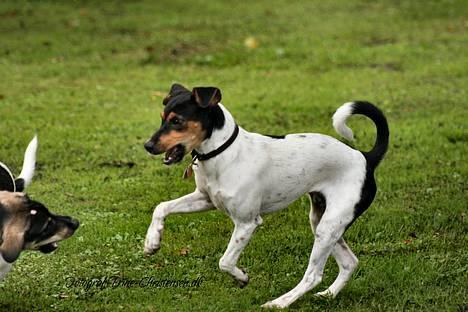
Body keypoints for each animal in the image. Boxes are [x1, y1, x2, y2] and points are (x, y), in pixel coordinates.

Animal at [143, 84, 388, 308]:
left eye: (177, 121)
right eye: (162, 119)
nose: (147, 145)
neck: (224, 154)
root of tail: (365, 158)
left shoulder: (247, 223)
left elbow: (225, 261)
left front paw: (241, 277)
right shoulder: (204, 199)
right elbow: (161, 207)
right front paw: (152, 241)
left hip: (329, 227)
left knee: (313, 275)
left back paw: (279, 303)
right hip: (322, 221)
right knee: (349, 262)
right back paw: (327, 295)